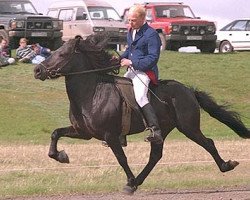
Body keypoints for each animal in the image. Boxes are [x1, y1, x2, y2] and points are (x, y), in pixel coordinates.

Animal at [33, 34, 250, 194]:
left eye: (62, 55)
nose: (37, 70)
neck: (93, 92)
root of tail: (188, 90)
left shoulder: (110, 136)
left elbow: (121, 158)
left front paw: (129, 180)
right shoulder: (83, 132)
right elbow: (55, 133)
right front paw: (61, 156)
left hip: (188, 127)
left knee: (208, 143)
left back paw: (226, 165)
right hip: (164, 129)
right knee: (156, 155)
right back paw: (137, 181)